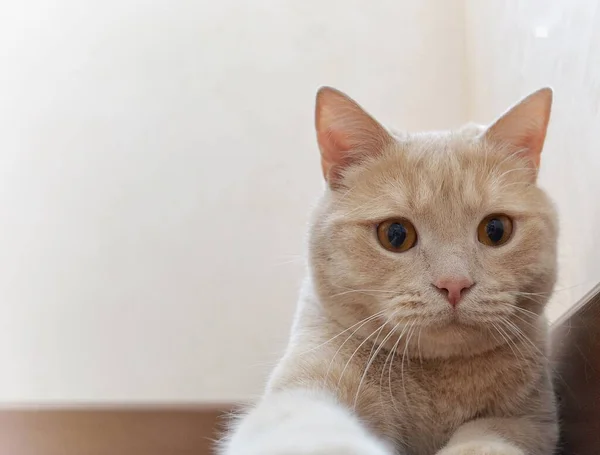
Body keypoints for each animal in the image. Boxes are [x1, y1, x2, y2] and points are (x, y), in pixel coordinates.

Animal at [220, 86, 556, 455]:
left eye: (495, 230)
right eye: (395, 234)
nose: (454, 284)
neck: (435, 384)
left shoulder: (529, 421)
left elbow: (484, 438)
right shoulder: (307, 384)